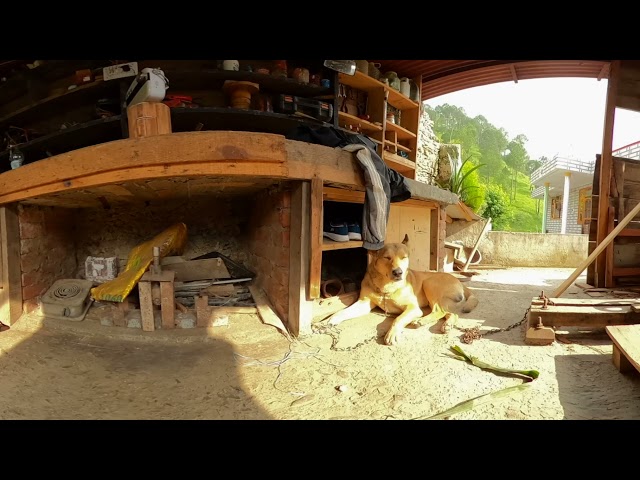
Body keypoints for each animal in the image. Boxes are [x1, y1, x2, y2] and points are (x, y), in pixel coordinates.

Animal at [328, 233, 478, 344]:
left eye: (404, 257)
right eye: (387, 257)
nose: (398, 272)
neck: (386, 285)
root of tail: (459, 281)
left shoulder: (413, 308)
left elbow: (398, 319)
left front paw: (392, 333)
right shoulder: (363, 304)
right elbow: (343, 311)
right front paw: (331, 319)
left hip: (429, 283)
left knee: (439, 310)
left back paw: (421, 321)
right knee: (451, 313)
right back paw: (447, 324)